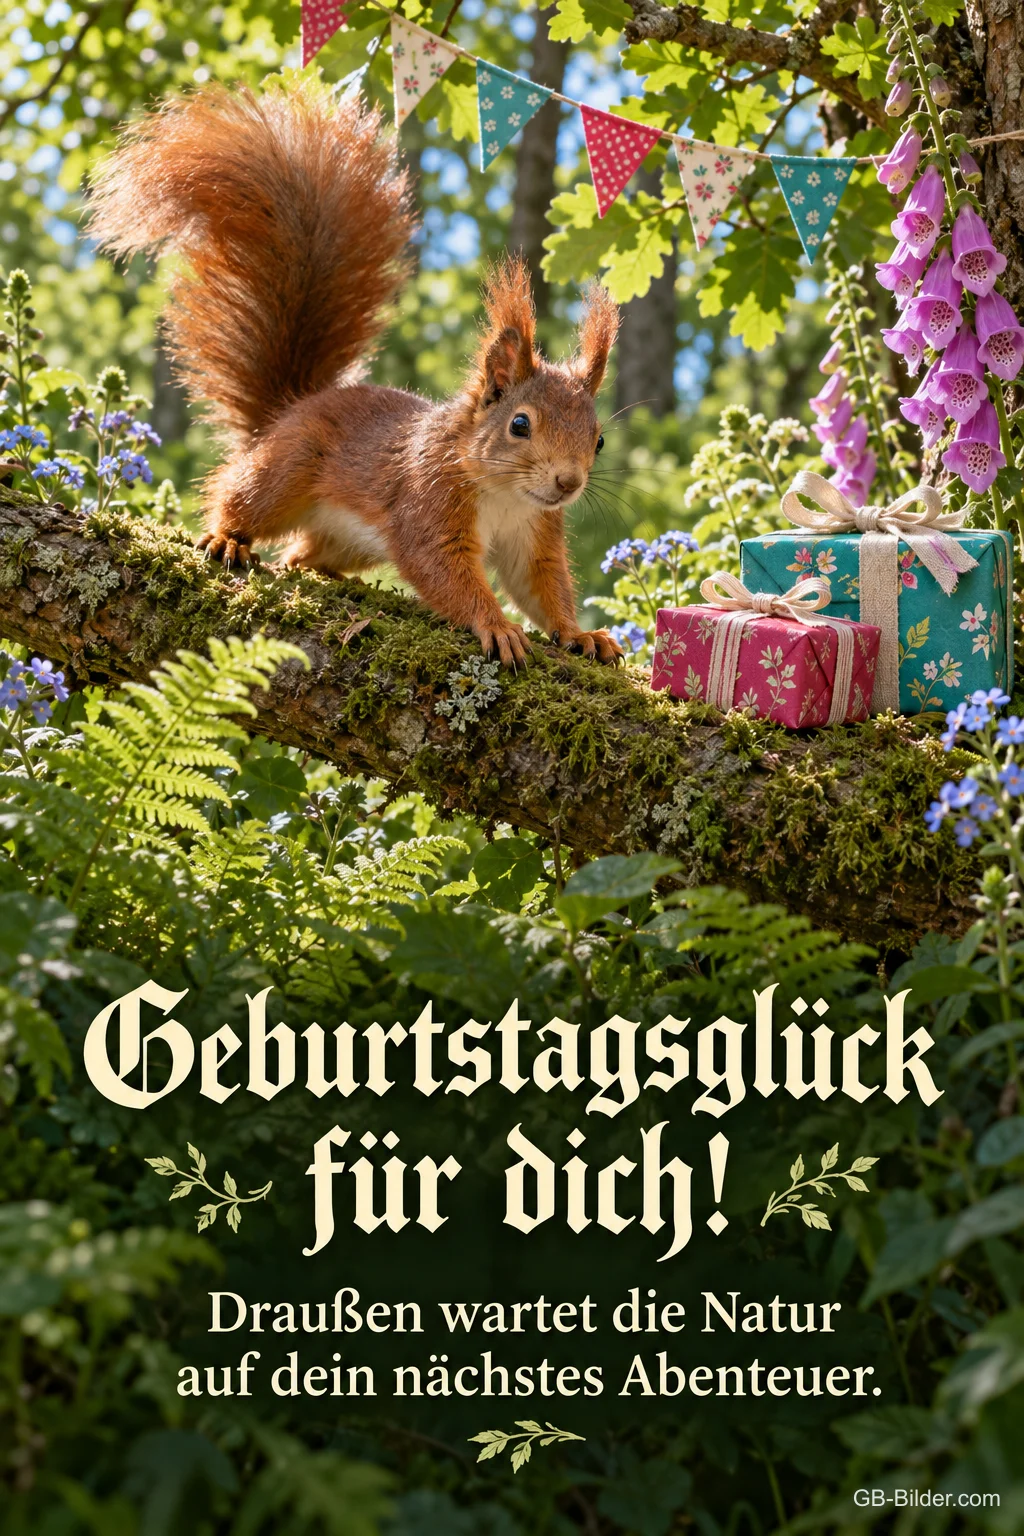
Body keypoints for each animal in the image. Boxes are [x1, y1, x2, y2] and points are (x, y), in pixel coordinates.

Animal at [88, 76, 624, 667]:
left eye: (599, 440)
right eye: (520, 424)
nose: (568, 482)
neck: (505, 494)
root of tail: (288, 410)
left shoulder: (535, 533)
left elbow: (543, 587)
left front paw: (580, 634)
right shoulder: (427, 498)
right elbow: (441, 569)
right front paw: (497, 625)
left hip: (344, 536)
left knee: (303, 554)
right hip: (284, 470)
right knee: (239, 498)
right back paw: (228, 538)